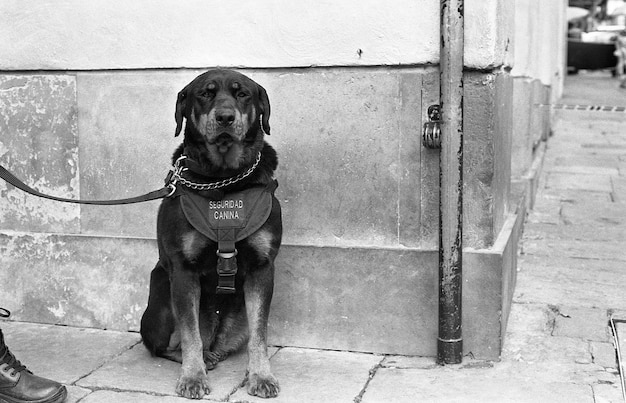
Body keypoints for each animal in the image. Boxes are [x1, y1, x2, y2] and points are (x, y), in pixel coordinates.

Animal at [140, 70, 282, 400]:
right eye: (205, 94)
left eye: (243, 94)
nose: (225, 117)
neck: (224, 180)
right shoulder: (183, 271)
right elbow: (190, 333)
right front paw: (192, 377)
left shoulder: (262, 268)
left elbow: (260, 334)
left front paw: (261, 376)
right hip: (162, 299)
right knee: (168, 345)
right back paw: (202, 358)